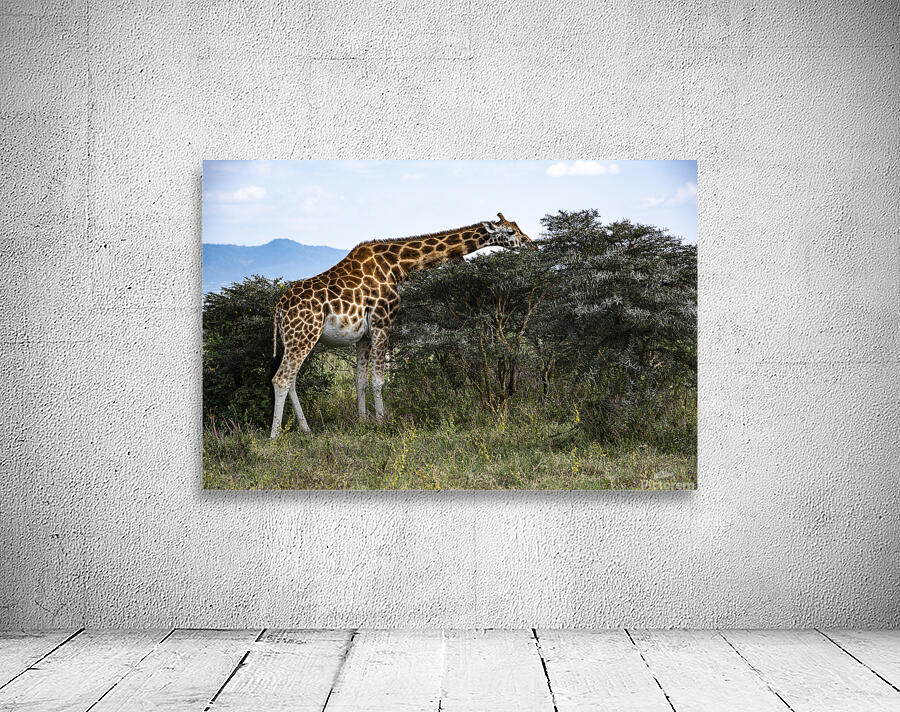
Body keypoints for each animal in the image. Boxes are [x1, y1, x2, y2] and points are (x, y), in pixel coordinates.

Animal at [269, 213, 533, 437]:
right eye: (510, 231)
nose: (531, 243)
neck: (398, 265)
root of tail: (279, 306)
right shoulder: (383, 321)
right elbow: (378, 379)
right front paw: (382, 422)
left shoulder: (364, 334)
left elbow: (360, 380)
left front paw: (362, 422)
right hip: (304, 334)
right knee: (281, 379)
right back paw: (275, 436)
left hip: (293, 338)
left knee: (291, 379)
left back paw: (306, 429)